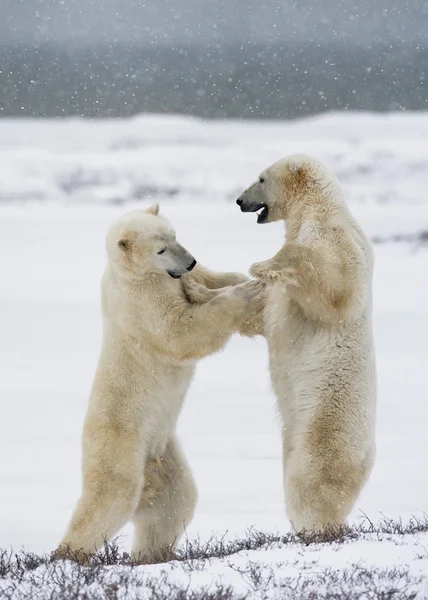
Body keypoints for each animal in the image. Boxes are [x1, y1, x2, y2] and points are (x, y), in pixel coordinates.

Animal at [53, 205, 260, 564]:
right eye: (161, 249)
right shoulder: (142, 304)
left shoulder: (176, 279)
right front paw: (240, 296)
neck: (133, 275)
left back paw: (152, 555)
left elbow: (211, 277)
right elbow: (180, 331)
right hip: (121, 444)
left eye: (175, 235)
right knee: (110, 498)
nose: (189, 261)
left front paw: (242, 280)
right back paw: (66, 556)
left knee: (173, 499)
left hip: (163, 451)